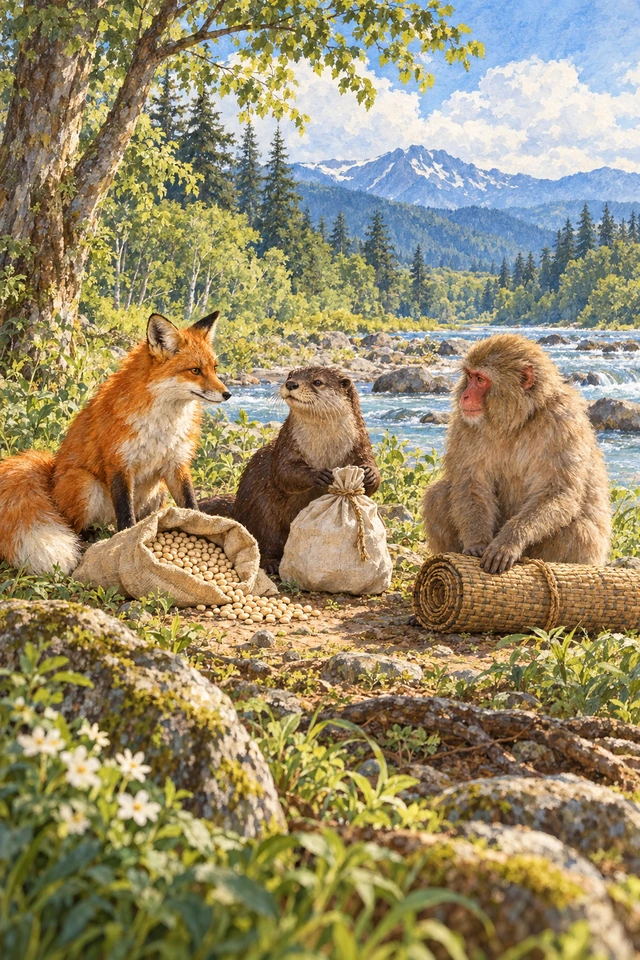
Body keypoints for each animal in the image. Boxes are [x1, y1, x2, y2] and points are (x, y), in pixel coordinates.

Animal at [0, 311, 231, 575]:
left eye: (214, 368)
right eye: (195, 370)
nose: (227, 394)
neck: (162, 425)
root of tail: (52, 470)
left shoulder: (176, 463)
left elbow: (191, 505)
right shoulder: (119, 463)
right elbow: (125, 514)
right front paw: (125, 544)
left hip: (157, 492)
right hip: (85, 485)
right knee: (75, 525)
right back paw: (88, 540)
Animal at [421, 333, 612, 574]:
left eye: (480, 380)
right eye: (469, 376)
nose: (464, 396)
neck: (515, 422)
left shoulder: (562, 422)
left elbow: (557, 491)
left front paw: (509, 541)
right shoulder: (464, 424)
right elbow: (472, 484)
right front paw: (476, 542)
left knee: (579, 530)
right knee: (437, 495)